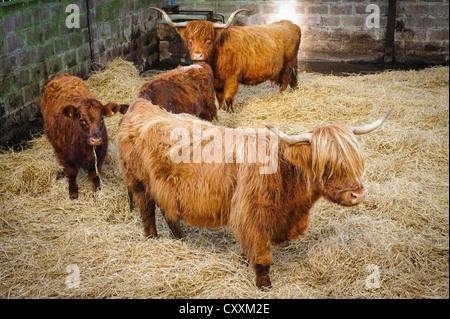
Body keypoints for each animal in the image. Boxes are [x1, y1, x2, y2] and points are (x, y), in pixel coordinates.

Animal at [117, 99, 390, 292]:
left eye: (355, 162)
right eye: (327, 165)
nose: (357, 194)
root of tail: (140, 106)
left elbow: (249, 248)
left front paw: (243, 261)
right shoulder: (251, 215)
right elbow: (261, 256)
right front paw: (264, 285)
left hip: (167, 189)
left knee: (168, 210)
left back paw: (180, 238)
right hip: (138, 182)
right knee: (147, 210)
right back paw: (152, 239)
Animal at [151, 7, 302, 112]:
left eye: (208, 39)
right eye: (190, 39)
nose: (197, 55)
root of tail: (291, 24)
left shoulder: (232, 78)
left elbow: (229, 98)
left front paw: (230, 112)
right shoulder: (216, 81)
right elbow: (220, 98)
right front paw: (221, 110)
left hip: (287, 63)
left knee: (285, 81)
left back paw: (280, 98)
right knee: (293, 79)